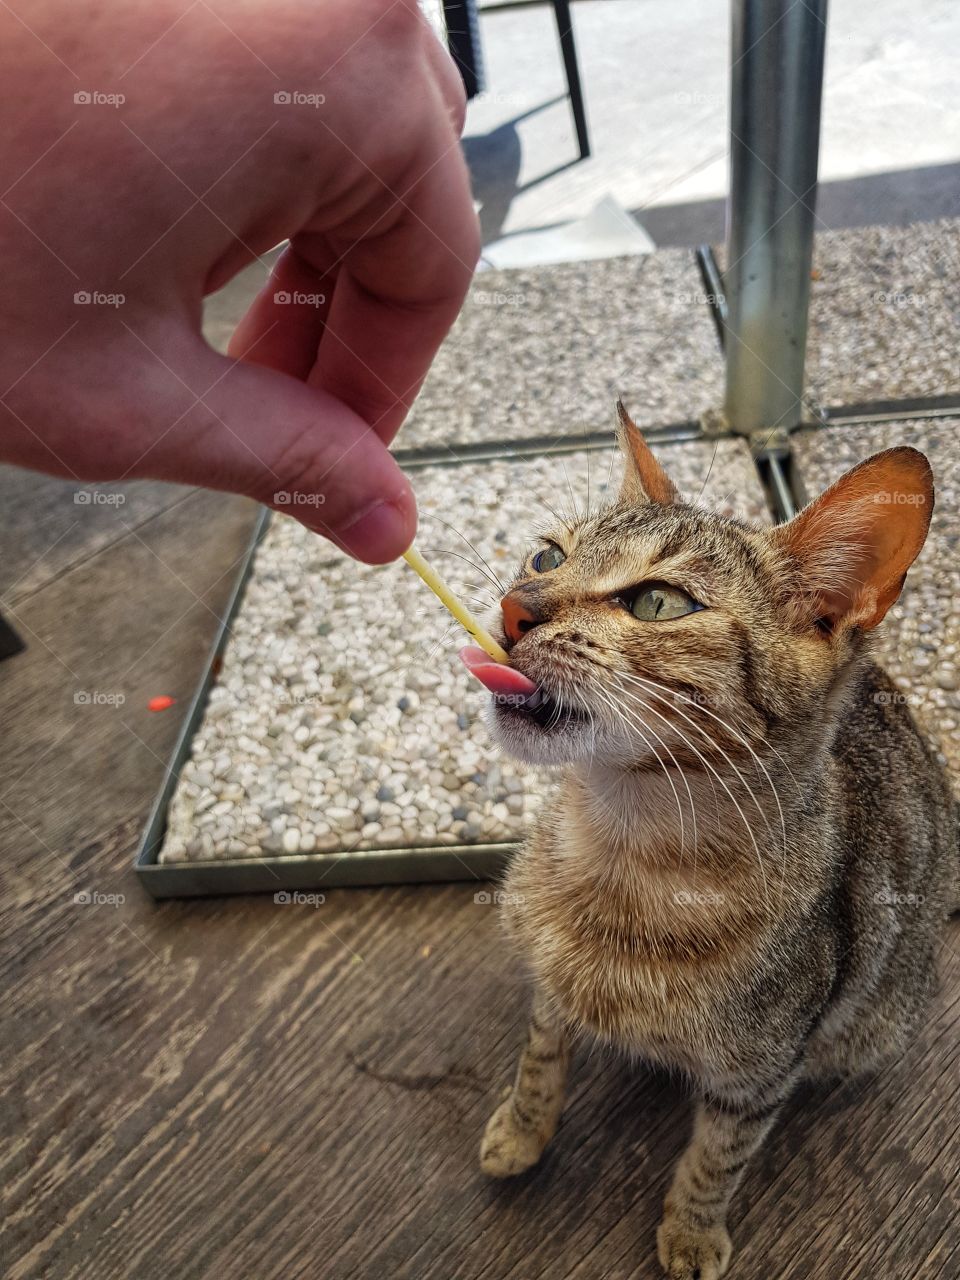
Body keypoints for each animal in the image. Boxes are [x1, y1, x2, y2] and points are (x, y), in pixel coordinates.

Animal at [478, 404, 957, 1280]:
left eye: (658, 602)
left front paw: (692, 1232)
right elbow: (538, 1060)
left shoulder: (760, 1074)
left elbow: (717, 1158)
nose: (512, 604)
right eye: (546, 555)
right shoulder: (551, 991)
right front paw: (520, 1130)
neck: (622, 849)